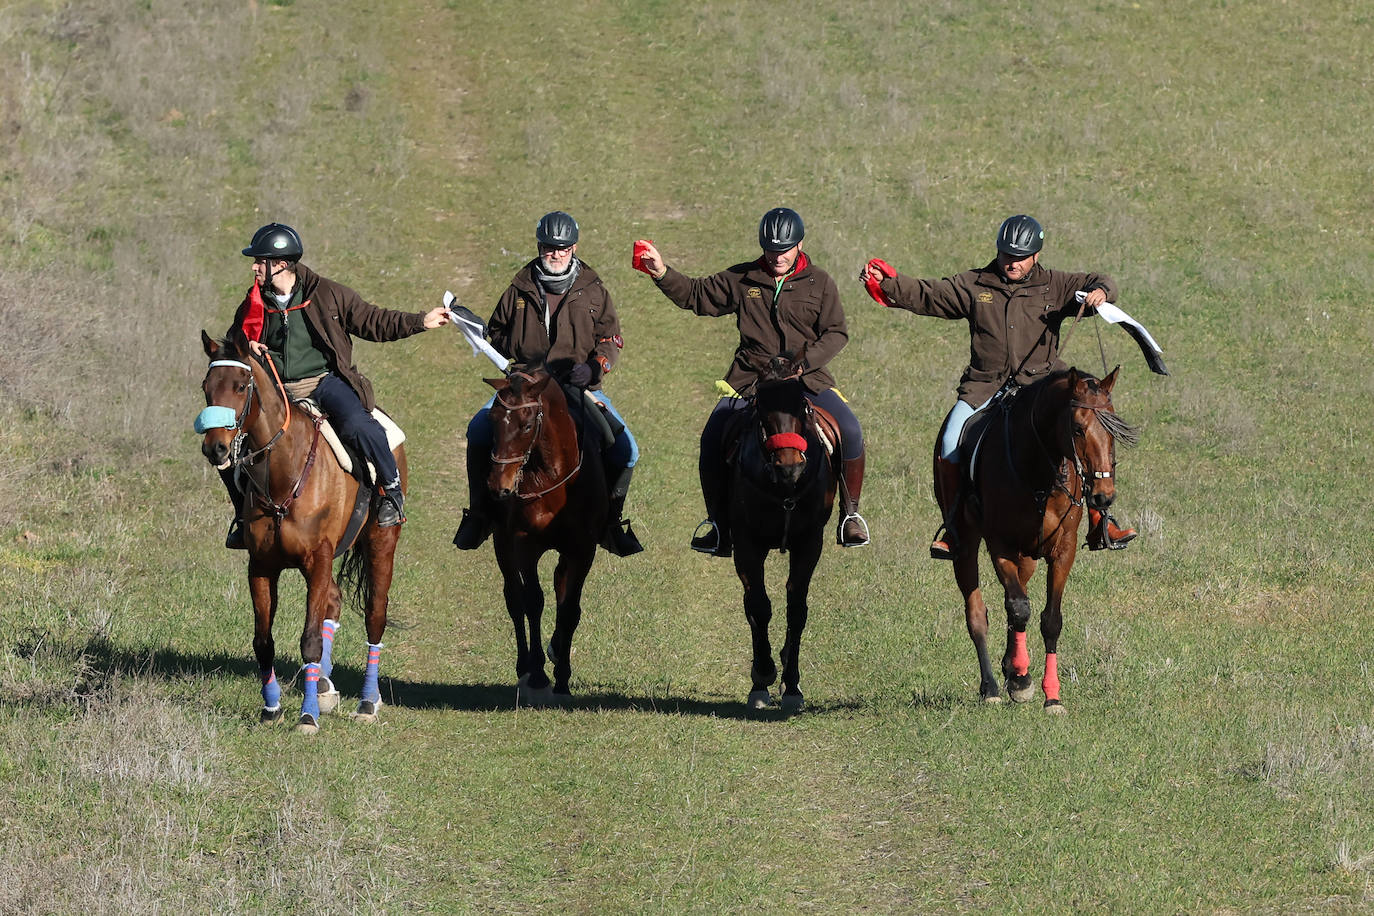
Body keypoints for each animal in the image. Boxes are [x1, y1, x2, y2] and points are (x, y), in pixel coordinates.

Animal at [199, 333, 401, 736]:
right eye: (206, 387)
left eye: (241, 386)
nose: (215, 447)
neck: (284, 472)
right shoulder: (261, 567)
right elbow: (263, 641)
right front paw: (271, 708)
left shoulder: (317, 559)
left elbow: (309, 640)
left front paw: (307, 717)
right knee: (333, 603)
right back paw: (322, 685)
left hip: (380, 543)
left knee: (375, 615)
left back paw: (367, 702)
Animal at [486, 365, 610, 703]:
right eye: (492, 420)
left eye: (527, 424)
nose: (498, 487)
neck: (553, 477)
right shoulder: (524, 547)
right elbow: (533, 602)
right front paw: (539, 675)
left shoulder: (583, 550)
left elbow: (569, 608)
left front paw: (563, 678)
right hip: (502, 544)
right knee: (514, 599)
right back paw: (524, 668)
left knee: (560, 586)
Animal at [730, 354, 835, 714]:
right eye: (762, 411)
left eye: (802, 406)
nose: (790, 466)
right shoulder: (746, 543)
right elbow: (759, 606)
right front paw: (761, 677)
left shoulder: (810, 543)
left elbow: (796, 609)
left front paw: (792, 685)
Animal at [945, 368, 1137, 714]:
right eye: (1077, 428)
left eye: (1113, 428)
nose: (1104, 496)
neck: (1038, 475)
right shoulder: (1000, 545)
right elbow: (1020, 608)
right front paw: (1021, 682)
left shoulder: (1063, 550)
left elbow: (1050, 620)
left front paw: (1051, 696)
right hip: (966, 547)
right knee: (978, 613)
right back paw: (992, 686)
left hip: (1028, 557)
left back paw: (1011, 667)